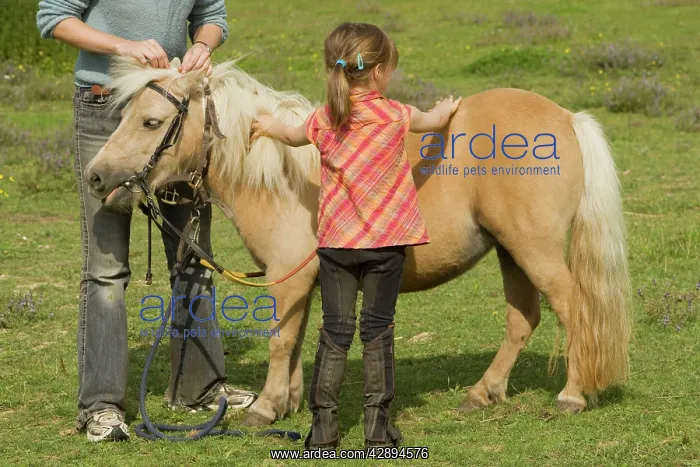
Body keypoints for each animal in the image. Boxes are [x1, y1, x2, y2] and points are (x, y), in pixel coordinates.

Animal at [83, 56, 631, 427]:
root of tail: (566, 119)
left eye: (152, 122)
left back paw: (572, 395)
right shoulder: (304, 282)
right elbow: (297, 339)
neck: (281, 176)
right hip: (510, 250)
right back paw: (483, 393)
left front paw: (265, 408)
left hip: (534, 250)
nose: (95, 176)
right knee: (523, 319)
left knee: (573, 310)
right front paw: (290, 403)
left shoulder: (287, 278)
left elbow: (281, 340)